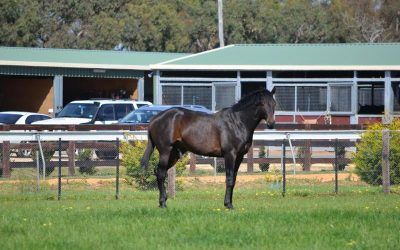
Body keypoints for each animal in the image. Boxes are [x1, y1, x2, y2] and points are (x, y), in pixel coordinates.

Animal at [142, 88, 276, 209]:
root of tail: (154, 119)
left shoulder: (239, 157)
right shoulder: (230, 155)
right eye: (262, 103)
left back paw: (163, 201)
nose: (271, 124)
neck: (237, 122)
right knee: (160, 173)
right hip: (165, 151)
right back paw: (163, 204)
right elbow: (229, 179)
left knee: (161, 172)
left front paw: (230, 203)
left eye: (274, 103)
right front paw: (228, 205)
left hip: (174, 154)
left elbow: (234, 179)